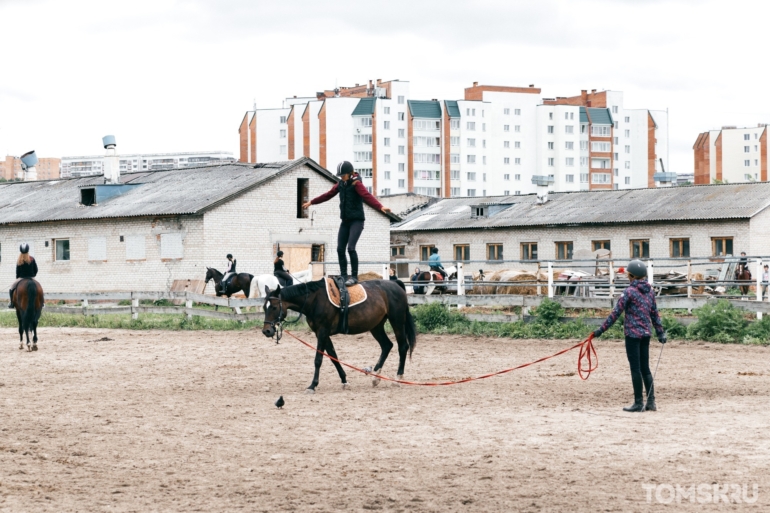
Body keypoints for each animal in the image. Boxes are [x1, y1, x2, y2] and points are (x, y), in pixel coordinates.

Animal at [260, 280, 416, 392]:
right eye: (264, 307)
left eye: (274, 307)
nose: (266, 331)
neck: (315, 300)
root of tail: (396, 285)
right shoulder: (322, 333)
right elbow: (333, 357)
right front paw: (345, 381)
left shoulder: (322, 332)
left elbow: (318, 359)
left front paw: (312, 385)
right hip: (376, 326)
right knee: (387, 346)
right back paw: (376, 377)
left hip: (397, 321)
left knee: (402, 347)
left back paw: (397, 378)